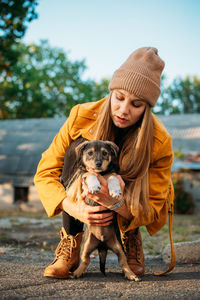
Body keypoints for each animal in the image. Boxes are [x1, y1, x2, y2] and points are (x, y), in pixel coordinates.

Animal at [72, 141, 140, 282]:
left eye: (105, 153)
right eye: (90, 153)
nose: (98, 163)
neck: (101, 173)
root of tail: (102, 244)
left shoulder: (113, 175)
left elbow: (112, 178)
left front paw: (115, 191)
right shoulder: (84, 176)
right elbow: (91, 174)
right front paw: (94, 186)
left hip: (119, 247)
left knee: (123, 261)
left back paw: (131, 275)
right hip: (86, 246)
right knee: (85, 260)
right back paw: (77, 273)